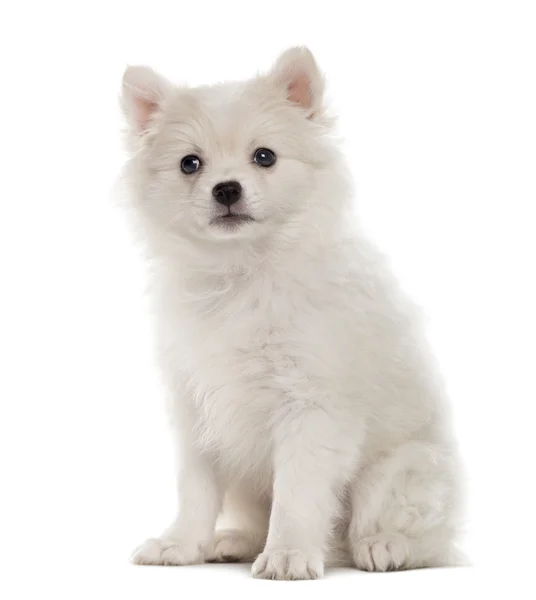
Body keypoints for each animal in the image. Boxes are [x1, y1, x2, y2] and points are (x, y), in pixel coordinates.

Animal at [119, 48, 462, 580]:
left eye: (265, 157)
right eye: (189, 164)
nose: (226, 189)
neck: (242, 273)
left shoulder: (312, 407)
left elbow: (297, 495)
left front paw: (289, 554)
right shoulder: (196, 407)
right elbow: (195, 490)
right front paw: (181, 543)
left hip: (403, 470)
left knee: (410, 536)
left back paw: (384, 546)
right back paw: (233, 541)